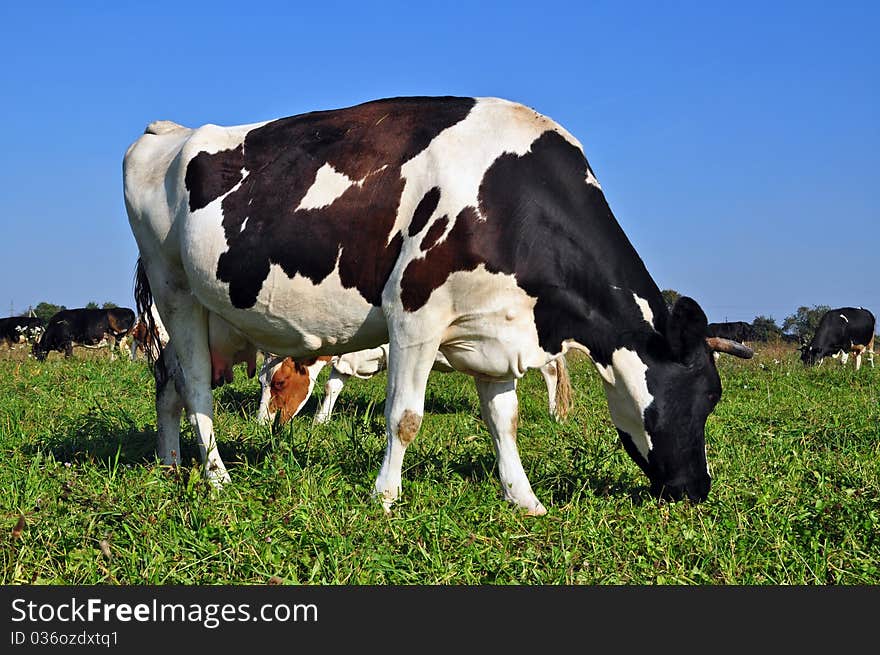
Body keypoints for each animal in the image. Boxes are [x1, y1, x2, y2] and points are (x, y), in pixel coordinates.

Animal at [127, 96, 752, 512]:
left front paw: (524, 500)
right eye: (707, 396)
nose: (696, 490)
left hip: (210, 317)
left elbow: (505, 420)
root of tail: (168, 131)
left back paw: (170, 463)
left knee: (169, 382)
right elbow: (404, 417)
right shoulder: (413, 314)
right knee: (195, 386)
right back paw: (216, 477)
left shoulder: (497, 330)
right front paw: (385, 498)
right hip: (174, 288)